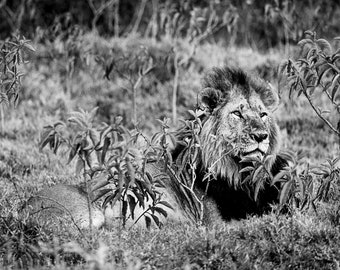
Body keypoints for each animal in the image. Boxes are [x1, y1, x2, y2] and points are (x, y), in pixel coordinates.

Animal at [22, 66, 286, 230]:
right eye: (237, 114)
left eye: (263, 114)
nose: (261, 136)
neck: (239, 175)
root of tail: (25, 207)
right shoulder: (214, 222)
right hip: (90, 213)